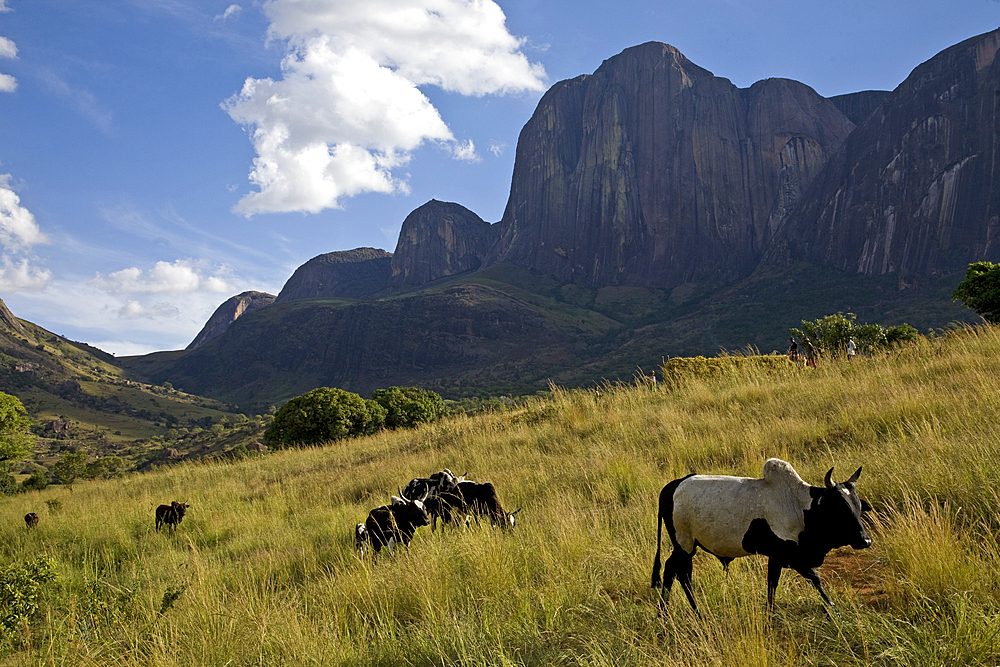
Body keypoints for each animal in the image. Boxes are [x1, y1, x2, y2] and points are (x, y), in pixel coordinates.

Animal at [652, 460, 872, 612]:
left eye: (858, 507)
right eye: (841, 509)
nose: (866, 540)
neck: (801, 507)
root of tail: (674, 485)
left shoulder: (780, 558)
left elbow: (777, 584)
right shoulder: (788, 555)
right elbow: (812, 579)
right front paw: (835, 612)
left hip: (686, 546)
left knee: (676, 571)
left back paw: (674, 612)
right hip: (684, 544)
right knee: (679, 572)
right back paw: (685, 612)